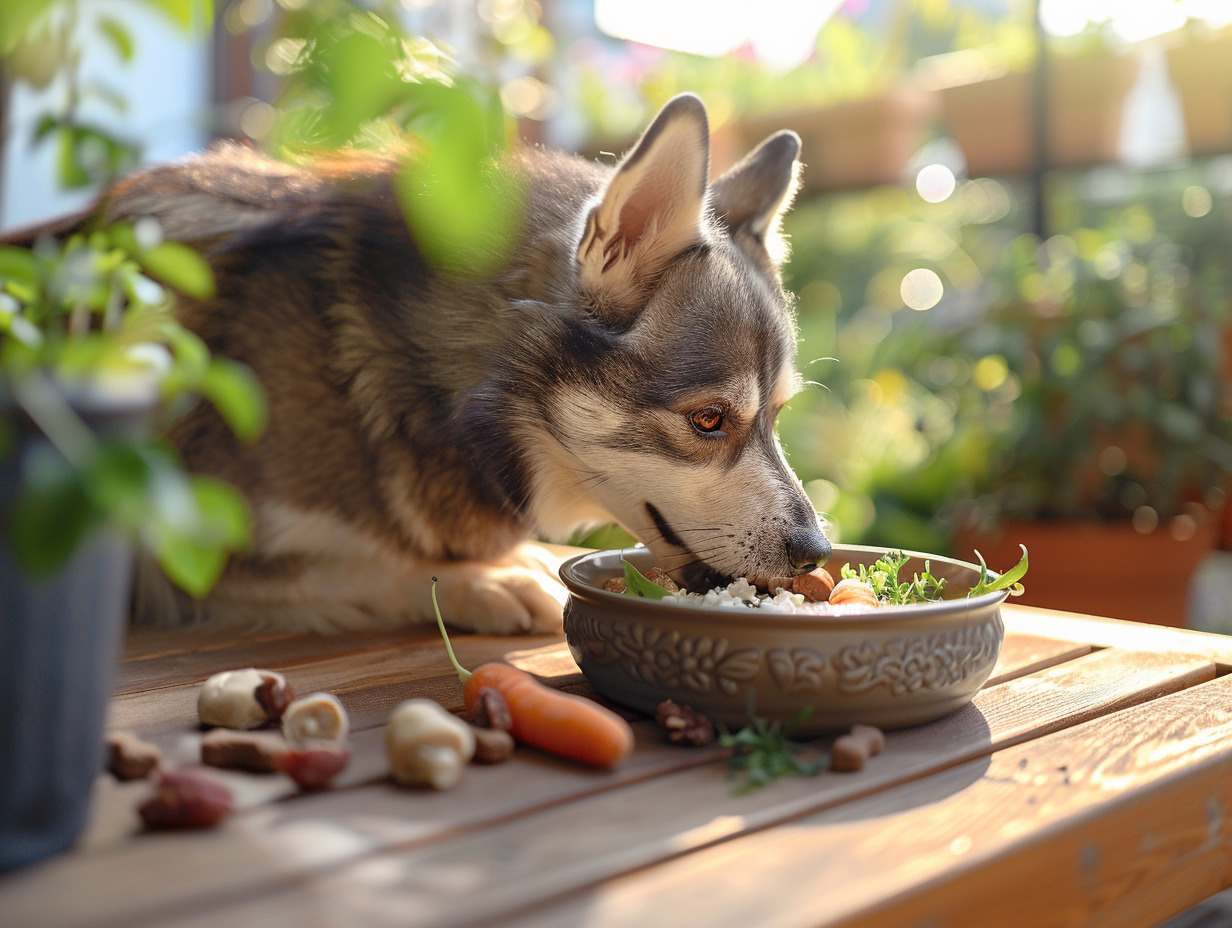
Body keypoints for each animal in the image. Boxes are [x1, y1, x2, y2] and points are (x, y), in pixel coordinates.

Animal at [33, 92, 832, 630]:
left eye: (777, 416)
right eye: (709, 421)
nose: (815, 550)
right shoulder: (184, 552)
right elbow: (373, 564)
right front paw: (493, 578)